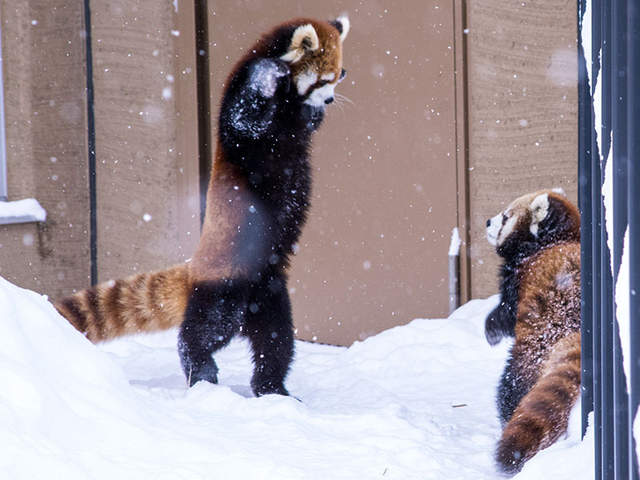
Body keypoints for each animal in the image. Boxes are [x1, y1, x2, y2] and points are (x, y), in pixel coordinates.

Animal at [55, 15, 352, 398]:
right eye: (324, 79)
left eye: (337, 75)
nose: (329, 99)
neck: (287, 101)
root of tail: (193, 268)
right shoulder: (237, 112)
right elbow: (246, 118)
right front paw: (269, 75)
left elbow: (306, 122)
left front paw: (312, 110)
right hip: (223, 289)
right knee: (205, 331)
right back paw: (201, 370)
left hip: (270, 294)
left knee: (276, 341)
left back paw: (273, 389)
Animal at [484, 188, 580, 472]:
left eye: (505, 217)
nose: (487, 222)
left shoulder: (518, 279)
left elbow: (505, 314)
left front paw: (491, 330)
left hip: (535, 347)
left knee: (511, 386)